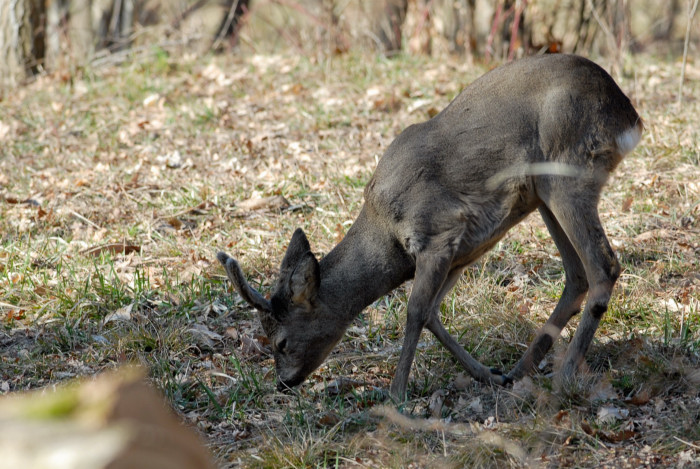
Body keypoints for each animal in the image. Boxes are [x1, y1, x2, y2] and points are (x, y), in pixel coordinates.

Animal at [216, 54, 644, 398]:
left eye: (281, 342)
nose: (283, 383)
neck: (386, 234)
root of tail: (628, 116)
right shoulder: (461, 249)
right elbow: (435, 314)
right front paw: (486, 374)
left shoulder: (439, 231)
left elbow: (416, 310)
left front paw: (395, 395)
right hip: (542, 194)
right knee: (577, 274)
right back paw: (520, 371)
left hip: (569, 168)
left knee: (604, 265)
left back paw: (566, 374)